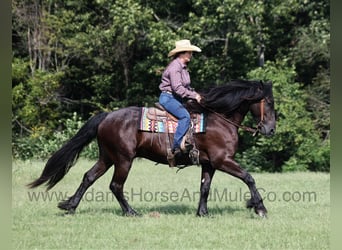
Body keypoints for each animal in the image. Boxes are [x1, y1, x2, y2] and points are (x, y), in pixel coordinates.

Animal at [28, 79, 276, 217]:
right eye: (270, 102)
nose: (271, 129)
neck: (220, 119)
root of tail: (107, 116)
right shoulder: (222, 160)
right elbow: (249, 177)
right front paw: (259, 208)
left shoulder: (209, 164)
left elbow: (204, 187)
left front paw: (202, 213)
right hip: (123, 160)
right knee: (116, 186)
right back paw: (131, 212)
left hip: (107, 158)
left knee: (89, 177)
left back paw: (70, 206)